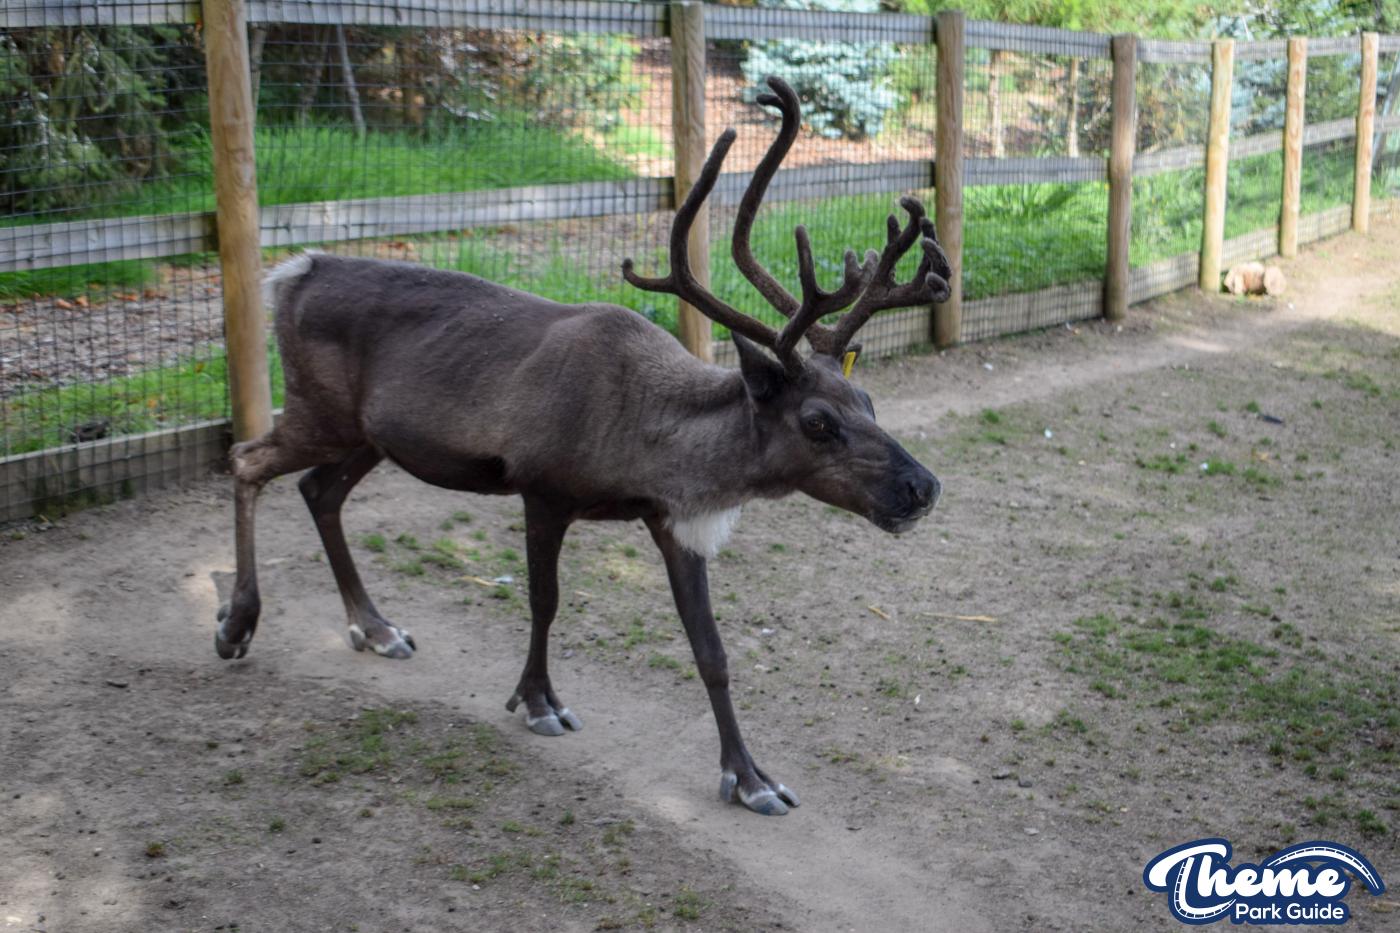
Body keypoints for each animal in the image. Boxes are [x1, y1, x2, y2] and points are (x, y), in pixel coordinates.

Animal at [215, 77, 950, 816]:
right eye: (818, 421)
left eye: (869, 401)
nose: (924, 486)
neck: (649, 438)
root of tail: (293, 271)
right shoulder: (542, 490)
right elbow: (545, 600)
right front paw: (538, 700)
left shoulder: (671, 522)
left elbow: (711, 649)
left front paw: (750, 778)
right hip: (318, 412)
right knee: (246, 459)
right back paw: (237, 623)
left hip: (371, 435)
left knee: (318, 489)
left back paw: (376, 628)